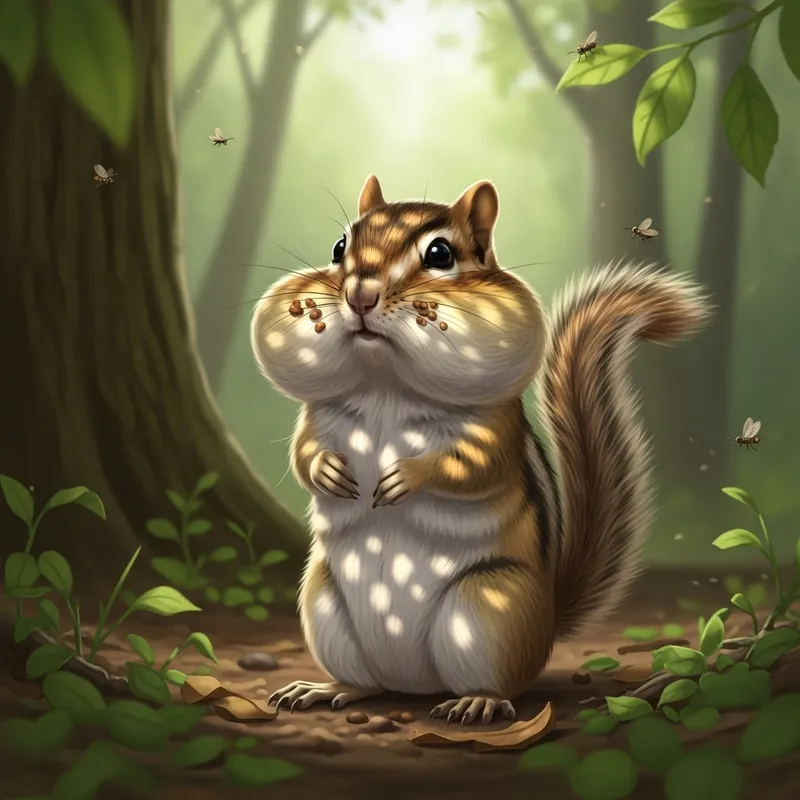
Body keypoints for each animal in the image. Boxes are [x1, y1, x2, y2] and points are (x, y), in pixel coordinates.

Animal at [250, 175, 712, 725]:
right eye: (340, 248)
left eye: (440, 253)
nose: (360, 295)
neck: (386, 380)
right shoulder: (317, 417)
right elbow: (303, 452)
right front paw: (328, 472)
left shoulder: (496, 427)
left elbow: (472, 466)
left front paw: (407, 476)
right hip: (323, 603)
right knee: (365, 682)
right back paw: (325, 688)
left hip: (488, 608)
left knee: (500, 683)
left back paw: (477, 700)